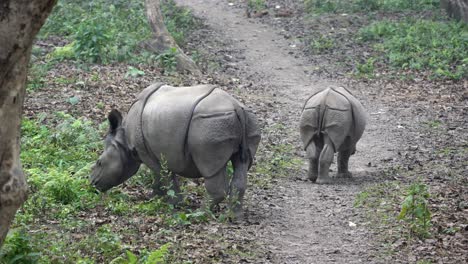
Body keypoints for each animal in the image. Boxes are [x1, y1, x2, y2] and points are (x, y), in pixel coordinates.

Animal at [89, 83, 262, 218]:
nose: (92, 184)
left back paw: (199, 214)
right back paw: (233, 217)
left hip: (209, 124)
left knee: (210, 168)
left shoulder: (148, 153)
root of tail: (236, 107)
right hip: (248, 120)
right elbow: (161, 177)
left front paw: (172, 203)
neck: (123, 141)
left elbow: (162, 175)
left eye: (99, 162)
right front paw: (156, 198)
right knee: (242, 164)